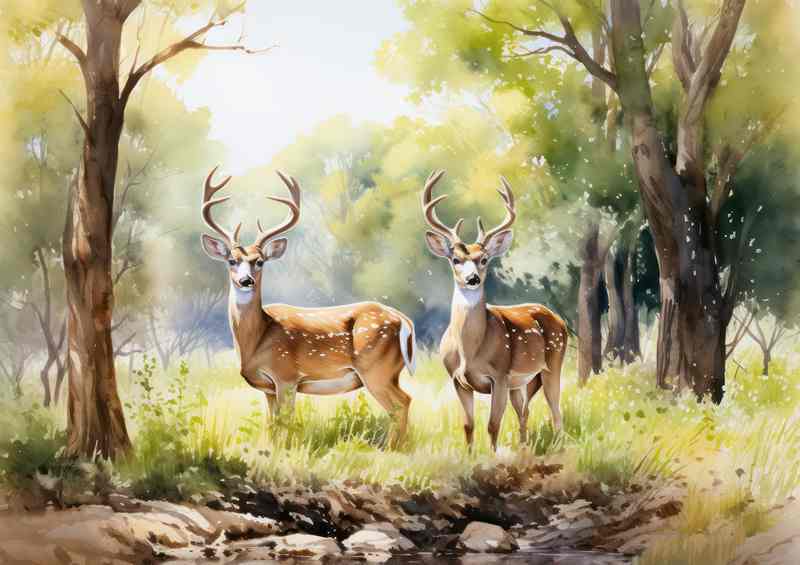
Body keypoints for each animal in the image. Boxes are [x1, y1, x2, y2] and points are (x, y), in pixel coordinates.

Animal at [200, 167, 416, 447]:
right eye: (231, 261)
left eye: (260, 261)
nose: (246, 281)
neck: (257, 339)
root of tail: (404, 321)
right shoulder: (268, 388)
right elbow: (271, 426)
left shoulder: (286, 377)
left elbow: (285, 424)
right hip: (389, 372)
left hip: (376, 368)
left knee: (401, 403)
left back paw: (392, 450)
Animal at [421, 170, 567, 451]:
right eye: (455, 260)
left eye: (484, 259)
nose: (473, 278)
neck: (470, 351)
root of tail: (559, 319)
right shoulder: (457, 379)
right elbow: (468, 425)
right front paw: (468, 456)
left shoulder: (499, 375)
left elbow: (493, 425)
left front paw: (492, 455)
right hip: (522, 382)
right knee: (524, 412)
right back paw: (524, 447)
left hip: (552, 363)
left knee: (555, 410)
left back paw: (557, 447)